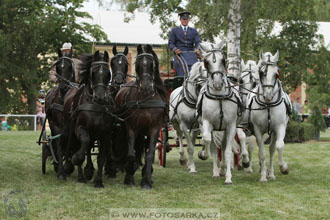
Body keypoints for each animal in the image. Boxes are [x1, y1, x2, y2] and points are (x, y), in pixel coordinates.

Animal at [63, 50, 114, 187]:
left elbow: (101, 158)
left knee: (89, 149)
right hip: (71, 131)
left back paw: (89, 170)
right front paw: (76, 159)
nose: (100, 97)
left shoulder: (105, 134)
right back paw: (80, 174)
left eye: (108, 74)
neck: (95, 106)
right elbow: (83, 146)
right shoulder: (80, 129)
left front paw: (98, 181)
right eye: (93, 73)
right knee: (78, 147)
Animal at [116, 44, 168, 189]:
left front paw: (146, 181)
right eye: (137, 64)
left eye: (151, 64)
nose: (145, 86)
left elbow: (150, 154)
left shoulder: (154, 128)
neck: (145, 98)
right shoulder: (132, 128)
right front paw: (129, 177)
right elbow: (130, 153)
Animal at [196, 41, 242, 184]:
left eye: (223, 60)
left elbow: (227, 151)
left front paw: (228, 177)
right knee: (214, 147)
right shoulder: (207, 123)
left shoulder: (231, 126)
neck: (219, 97)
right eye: (206, 62)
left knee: (223, 145)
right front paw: (203, 154)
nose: (217, 84)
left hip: (224, 129)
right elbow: (207, 140)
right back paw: (216, 172)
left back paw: (222, 169)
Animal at [248, 50, 292, 182]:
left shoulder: (280, 127)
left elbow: (279, 146)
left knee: (272, 150)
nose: (268, 96)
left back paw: (271, 173)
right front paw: (263, 176)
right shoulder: (257, 129)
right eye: (262, 73)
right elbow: (262, 153)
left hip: (272, 132)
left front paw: (284, 168)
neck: (268, 105)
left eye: (276, 74)